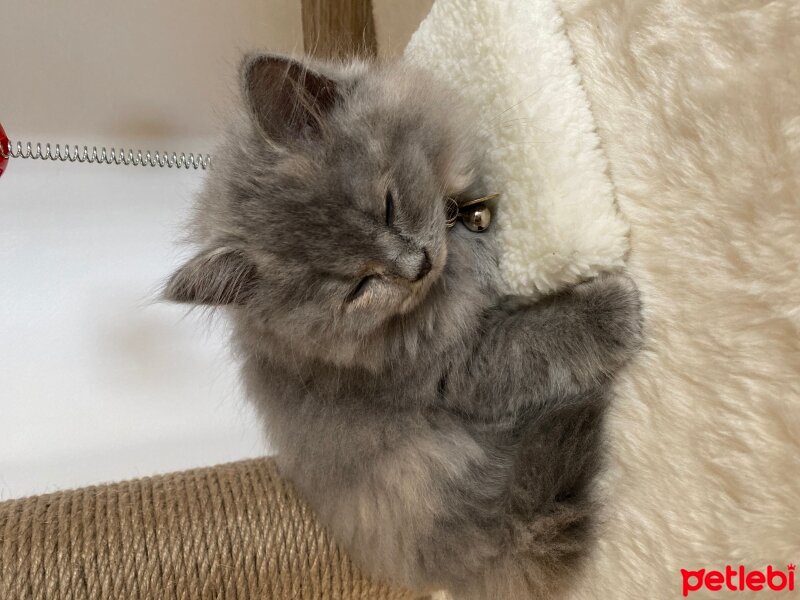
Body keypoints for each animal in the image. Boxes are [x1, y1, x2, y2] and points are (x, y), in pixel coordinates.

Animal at [164, 54, 644, 596]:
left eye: (389, 207)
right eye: (357, 286)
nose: (415, 266)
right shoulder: (455, 370)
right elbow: (534, 341)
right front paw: (612, 310)